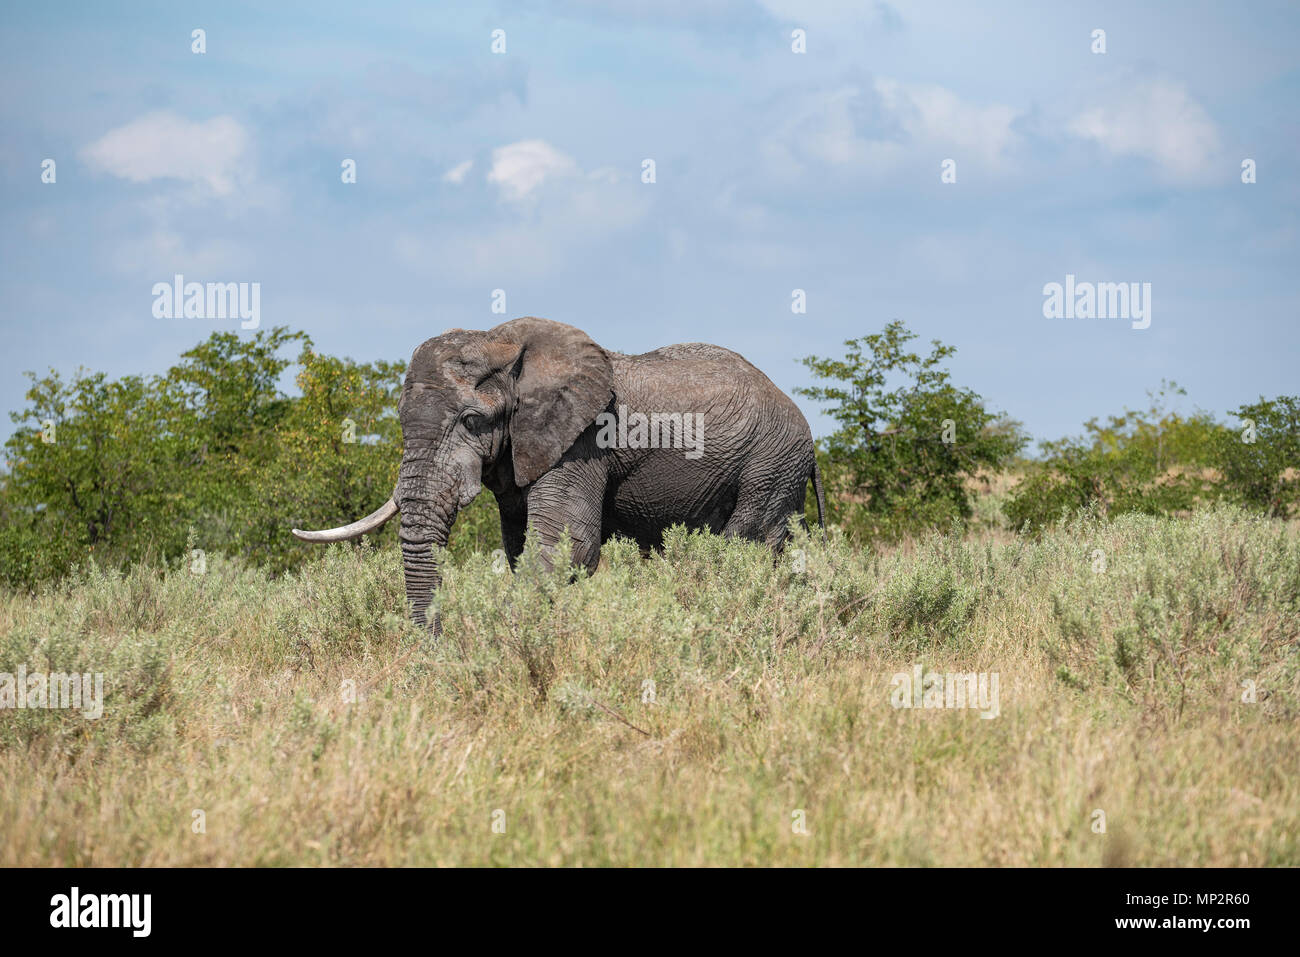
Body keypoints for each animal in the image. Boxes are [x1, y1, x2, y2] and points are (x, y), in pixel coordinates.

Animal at [292, 317, 821, 631]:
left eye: (472, 421)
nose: (434, 646)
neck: (502, 343)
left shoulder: (583, 437)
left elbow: (567, 543)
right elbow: (521, 544)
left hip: (771, 463)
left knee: (747, 543)